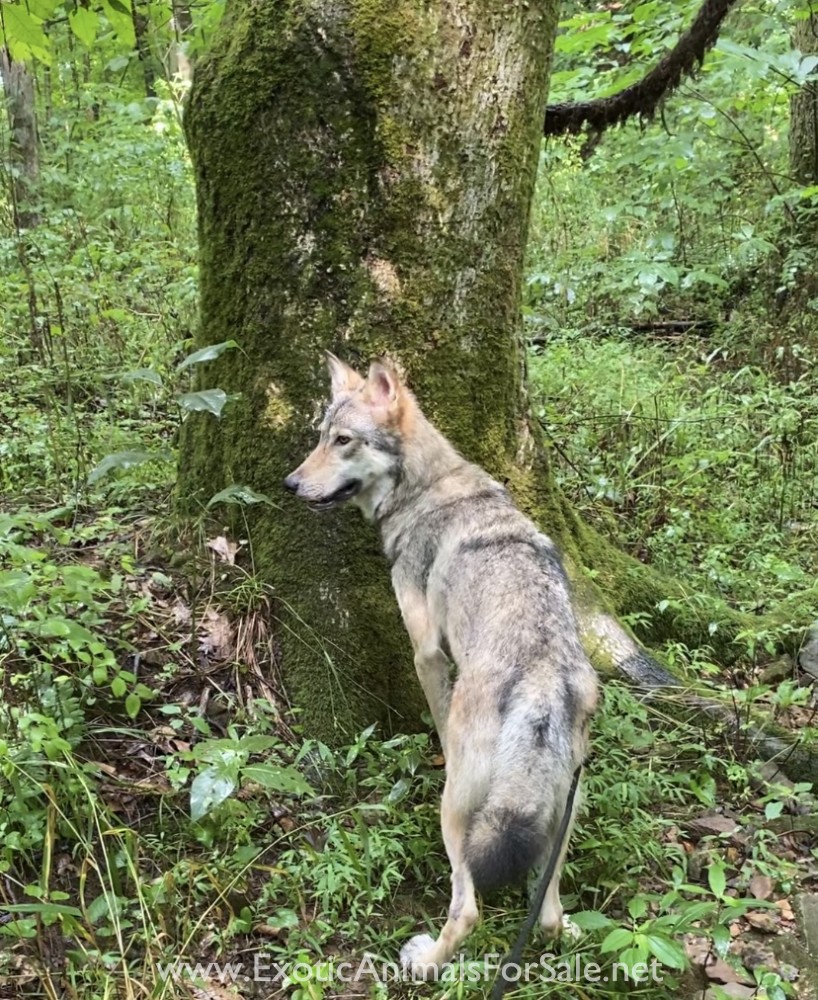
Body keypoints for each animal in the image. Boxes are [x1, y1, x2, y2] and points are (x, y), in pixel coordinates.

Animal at [284, 354, 598, 977]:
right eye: (320, 436)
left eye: (343, 440)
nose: (290, 482)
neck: (427, 487)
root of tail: (541, 683)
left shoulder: (426, 650)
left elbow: (434, 707)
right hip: (564, 812)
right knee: (548, 914)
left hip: (456, 815)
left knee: (468, 910)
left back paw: (423, 961)